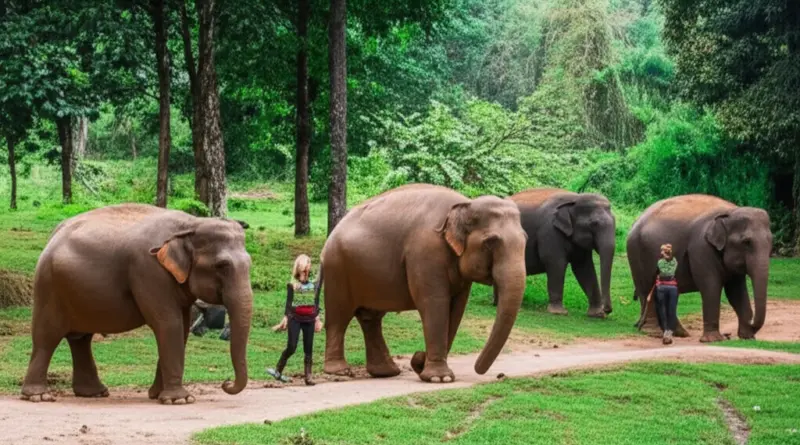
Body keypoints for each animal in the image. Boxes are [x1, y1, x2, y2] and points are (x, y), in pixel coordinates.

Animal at [21, 203, 253, 404]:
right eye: (221, 266)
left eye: (250, 264)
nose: (226, 383)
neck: (190, 224)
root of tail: (53, 235)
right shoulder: (148, 271)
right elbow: (169, 324)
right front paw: (180, 400)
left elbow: (182, 327)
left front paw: (158, 395)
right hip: (48, 286)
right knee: (47, 336)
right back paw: (39, 396)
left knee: (81, 339)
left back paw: (94, 393)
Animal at [318, 184, 527, 383]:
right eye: (491, 242)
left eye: (526, 240)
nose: (417, 358)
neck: (466, 204)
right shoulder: (426, 252)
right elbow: (435, 303)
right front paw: (439, 378)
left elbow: (456, 309)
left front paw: (425, 368)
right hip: (337, 268)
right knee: (339, 316)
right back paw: (341, 372)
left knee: (371, 318)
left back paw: (386, 372)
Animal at [509, 188, 616, 317]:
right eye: (593, 224)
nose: (607, 310)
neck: (575, 198)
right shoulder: (550, 231)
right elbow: (556, 263)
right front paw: (559, 312)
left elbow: (584, 268)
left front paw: (597, 314)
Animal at [627, 194, 772, 342]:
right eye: (746, 242)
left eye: (771, 241)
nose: (751, 322)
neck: (730, 212)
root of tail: (636, 221)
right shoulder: (701, 247)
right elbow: (711, 286)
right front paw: (713, 340)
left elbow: (736, 291)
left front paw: (747, 337)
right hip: (636, 255)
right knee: (647, 290)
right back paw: (654, 331)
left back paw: (679, 333)